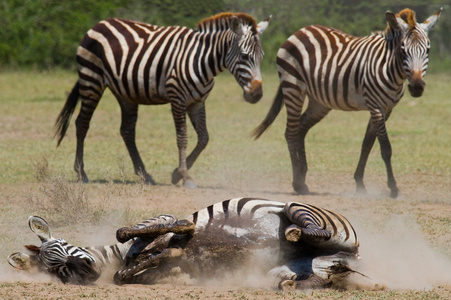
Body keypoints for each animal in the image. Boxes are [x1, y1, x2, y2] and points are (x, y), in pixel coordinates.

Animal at [7, 198, 364, 290]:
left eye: (62, 244)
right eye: (61, 272)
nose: (84, 267)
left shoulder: (160, 216)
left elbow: (126, 231)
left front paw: (183, 229)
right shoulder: (154, 270)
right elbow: (126, 274)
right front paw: (173, 253)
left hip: (299, 209)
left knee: (307, 228)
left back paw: (295, 233)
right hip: (291, 273)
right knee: (311, 278)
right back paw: (299, 281)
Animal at [54, 13, 270, 188]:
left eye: (261, 57)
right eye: (244, 56)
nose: (257, 94)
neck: (203, 60)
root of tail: (99, 24)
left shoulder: (198, 102)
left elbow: (204, 138)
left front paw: (176, 174)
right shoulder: (177, 99)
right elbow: (182, 138)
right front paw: (185, 176)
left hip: (125, 93)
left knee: (127, 131)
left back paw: (144, 174)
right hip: (92, 80)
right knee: (82, 123)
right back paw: (82, 173)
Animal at [252, 7, 444, 198]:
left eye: (427, 49)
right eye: (403, 49)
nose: (417, 87)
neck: (390, 68)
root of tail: (300, 31)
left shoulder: (386, 109)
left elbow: (367, 144)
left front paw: (359, 183)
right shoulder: (375, 106)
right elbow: (385, 148)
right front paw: (393, 187)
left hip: (319, 102)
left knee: (300, 128)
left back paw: (302, 177)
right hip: (293, 88)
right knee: (290, 132)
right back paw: (297, 184)